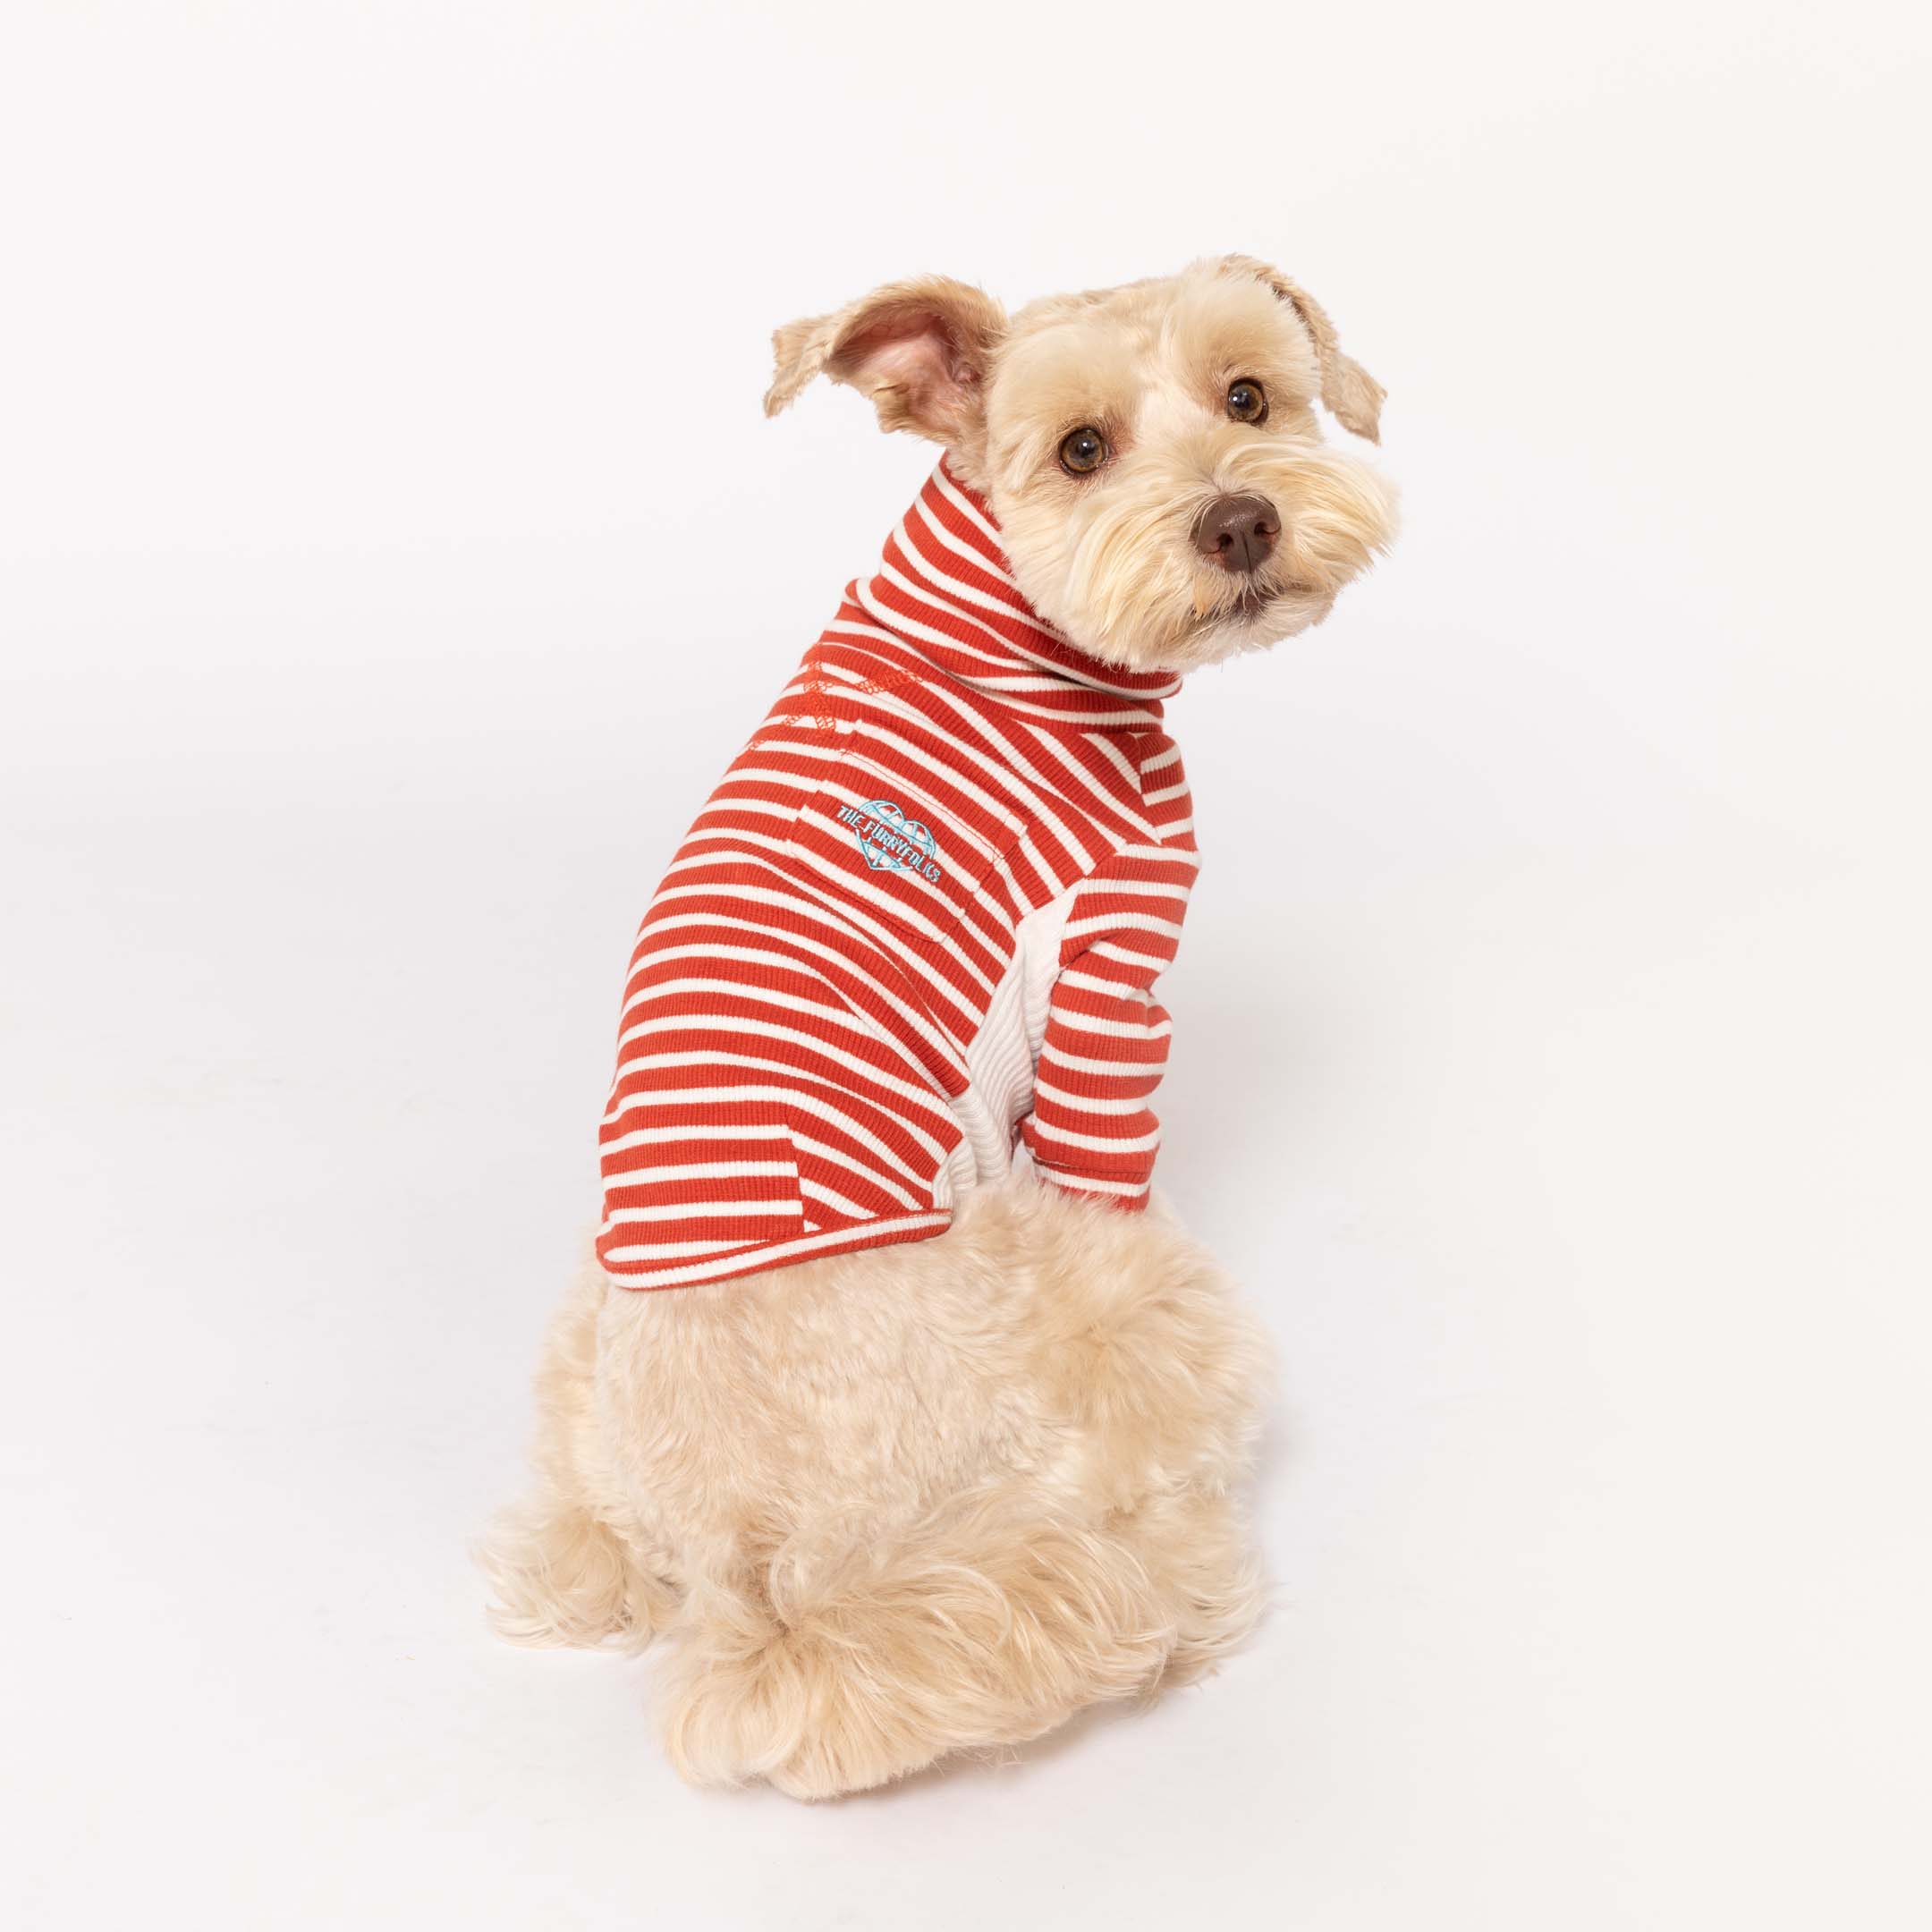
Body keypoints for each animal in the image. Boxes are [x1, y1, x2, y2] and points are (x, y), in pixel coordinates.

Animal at [479, 252, 1391, 1792]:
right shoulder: (1112, 980)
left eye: (1249, 397)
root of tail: (755, 1577)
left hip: (584, 1346)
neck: (1012, 635)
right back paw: (1187, 1583)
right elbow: (1111, 1143)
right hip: (1118, 1318)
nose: (1242, 518)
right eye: (1079, 449)